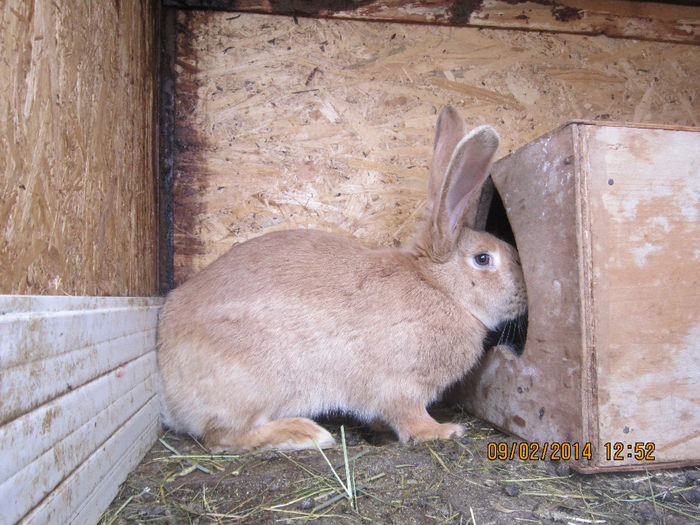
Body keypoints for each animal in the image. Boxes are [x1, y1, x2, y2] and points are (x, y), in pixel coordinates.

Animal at [156, 105, 528, 450]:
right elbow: (409, 416)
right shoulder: (400, 385)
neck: (440, 287)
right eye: (483, 259)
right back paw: (304, 433)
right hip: (256, 385)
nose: (525, 294)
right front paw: (443, 431)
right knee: (221, 437)